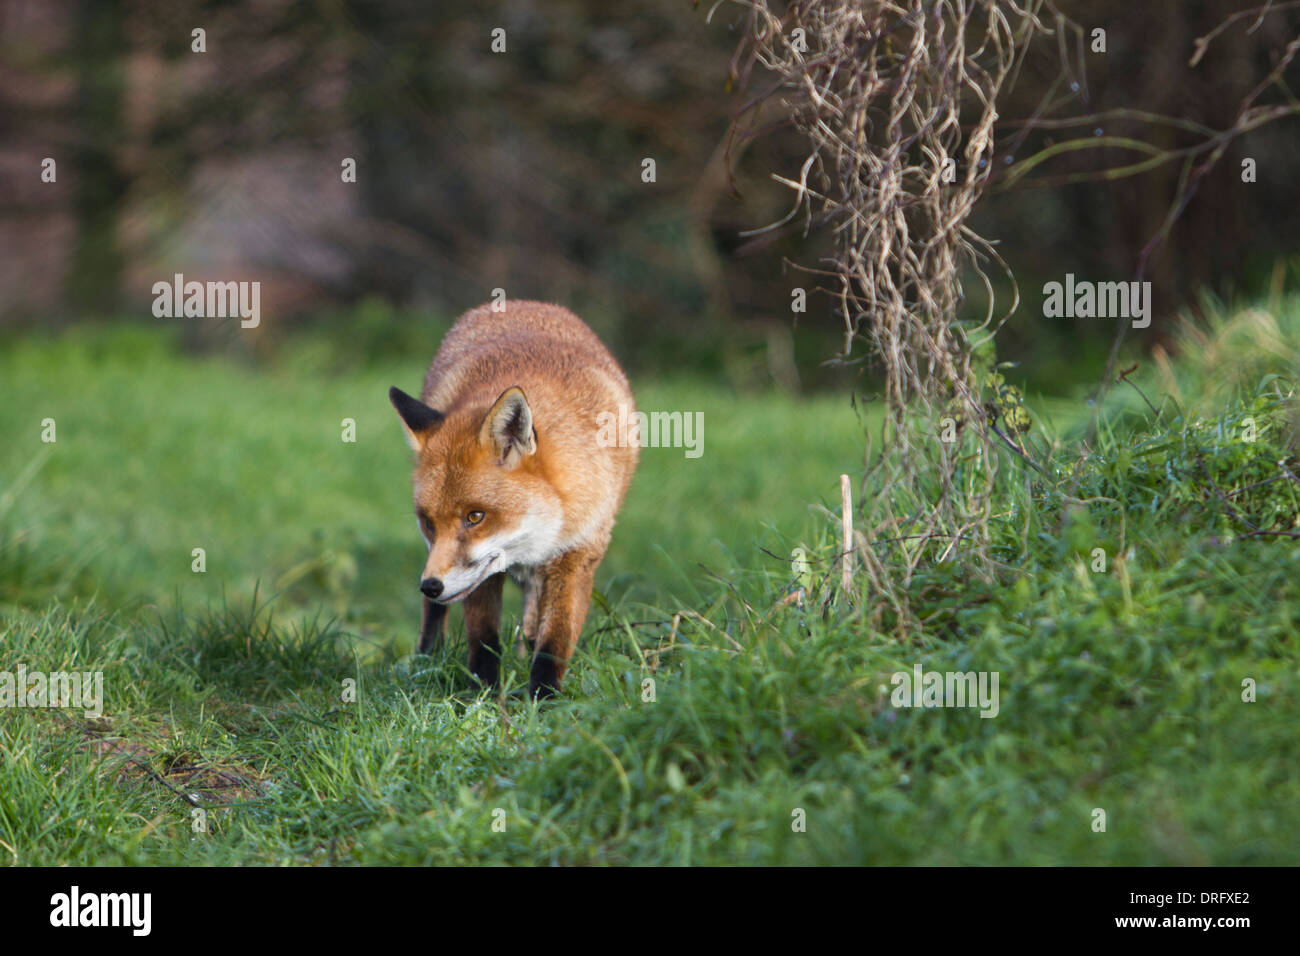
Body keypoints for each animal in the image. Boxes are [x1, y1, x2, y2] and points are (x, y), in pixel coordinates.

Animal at [388, 300, 639, 699]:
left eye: (475, 517)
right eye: (428, 521)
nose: (431, 586)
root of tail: (526, 303)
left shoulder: (578, 555)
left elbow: (554, 642)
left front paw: (545, 699)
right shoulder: (482, 572)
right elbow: (484, 639)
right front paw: (483, 696)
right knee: (435, 618)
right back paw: (426, 659)